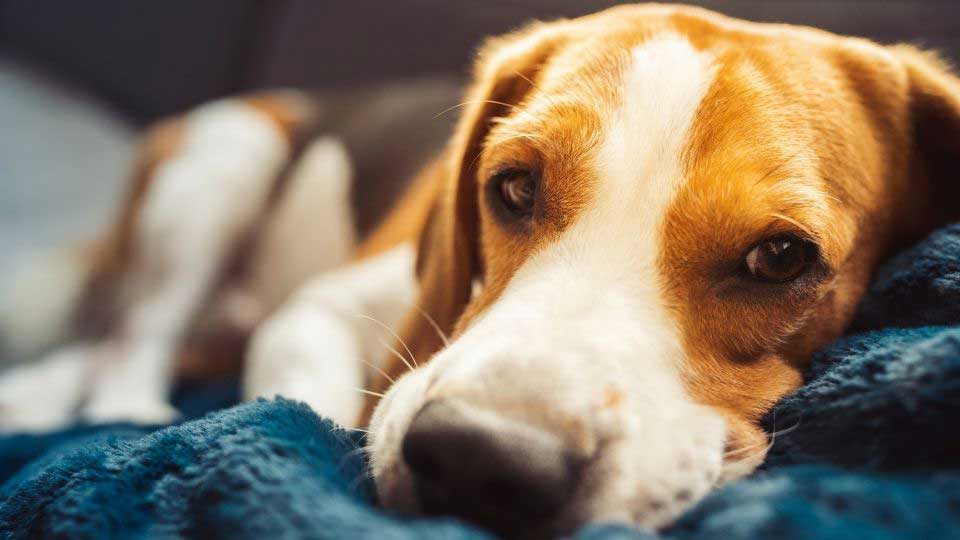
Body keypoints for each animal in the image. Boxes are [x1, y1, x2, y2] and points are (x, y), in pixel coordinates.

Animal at [1, 4, 960, 540]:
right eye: (514, 187)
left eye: (780, 257)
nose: (480, 461)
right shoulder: (314, 311)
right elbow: (318, 406)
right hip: (222, 159)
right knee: (134, 336)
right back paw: (121, 408)